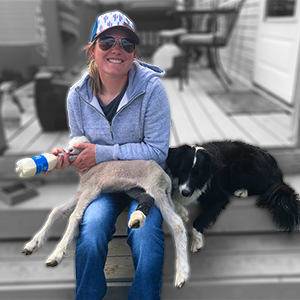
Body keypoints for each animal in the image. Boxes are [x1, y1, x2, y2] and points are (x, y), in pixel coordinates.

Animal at [22, 136, 189, 288]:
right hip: (144, 190)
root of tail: (166, 178)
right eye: (69, 144)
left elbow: (74, 215)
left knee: (177, 224)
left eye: (80, 145)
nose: (68, 151)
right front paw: (33, 244)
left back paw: (181, 274)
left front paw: (57, 254)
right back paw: (137, 220)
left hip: (156, 189)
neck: (89, 170)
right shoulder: (81, 191)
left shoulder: (92, 189)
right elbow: (56, 211)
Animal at [166, 141, 300, 253]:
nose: (186, 192)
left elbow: (199, 220)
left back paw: (242, 191)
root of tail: (273, 163)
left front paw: (196, 242)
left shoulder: (219, 198)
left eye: (197, 174)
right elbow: (172, 198)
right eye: (182, 171)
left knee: (267, 187)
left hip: (241, 165)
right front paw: (182, 211)